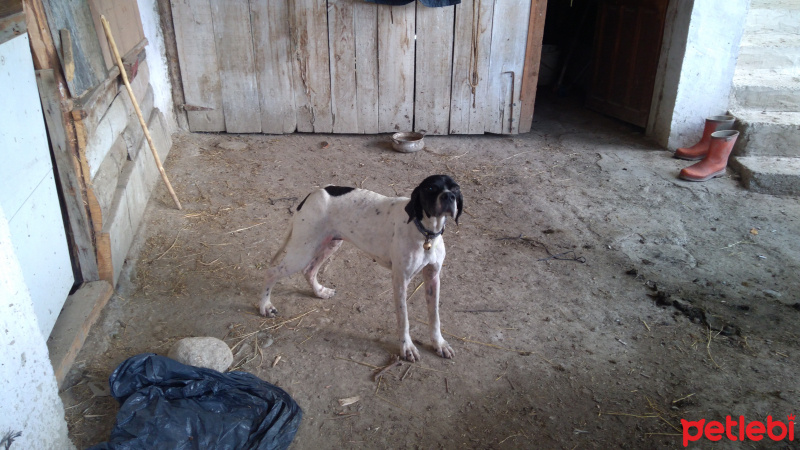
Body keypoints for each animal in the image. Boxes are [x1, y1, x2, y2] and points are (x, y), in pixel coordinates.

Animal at [260, 174, 462, 360]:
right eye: (431, 188)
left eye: (456, 189)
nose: (449, 196)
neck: (426, 233)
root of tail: (313, 193)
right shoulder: (400, 280)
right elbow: (404, 319)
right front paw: (407, 347)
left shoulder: (433, 277)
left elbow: (435, 317)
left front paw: (439, 343)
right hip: (302, 252)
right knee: (271, 272)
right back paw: (265, 306)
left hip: (330, 244)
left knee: (309, 270)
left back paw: (319, 292)